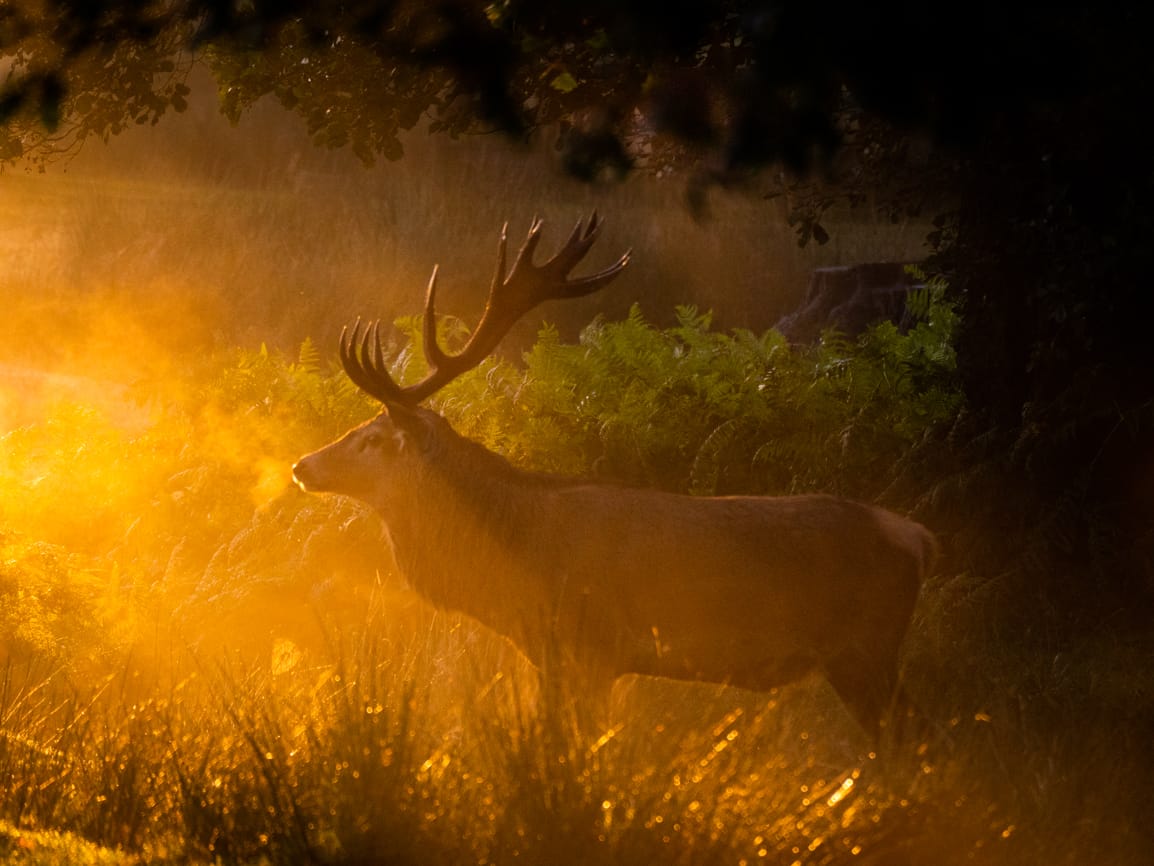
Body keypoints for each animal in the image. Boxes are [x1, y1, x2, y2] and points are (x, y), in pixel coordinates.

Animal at [292, 214, 937, 743]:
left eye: (373, 438)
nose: (302, 465)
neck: (512, 568)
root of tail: (919, 538)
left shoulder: (589, 647)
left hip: (865, 648)